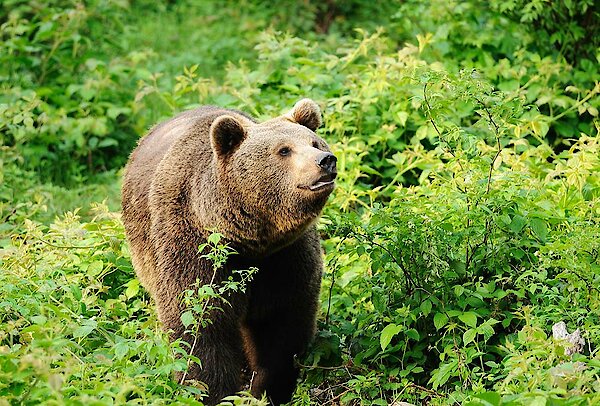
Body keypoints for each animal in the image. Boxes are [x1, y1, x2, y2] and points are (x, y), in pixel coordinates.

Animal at [122, 97, 338, 402]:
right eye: (284, 150)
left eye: (314, 142)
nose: (325, 160)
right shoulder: (196, 250)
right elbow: (200, 324)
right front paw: (215, 392)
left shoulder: (284, 258)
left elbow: (281, 327)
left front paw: (267, 389)